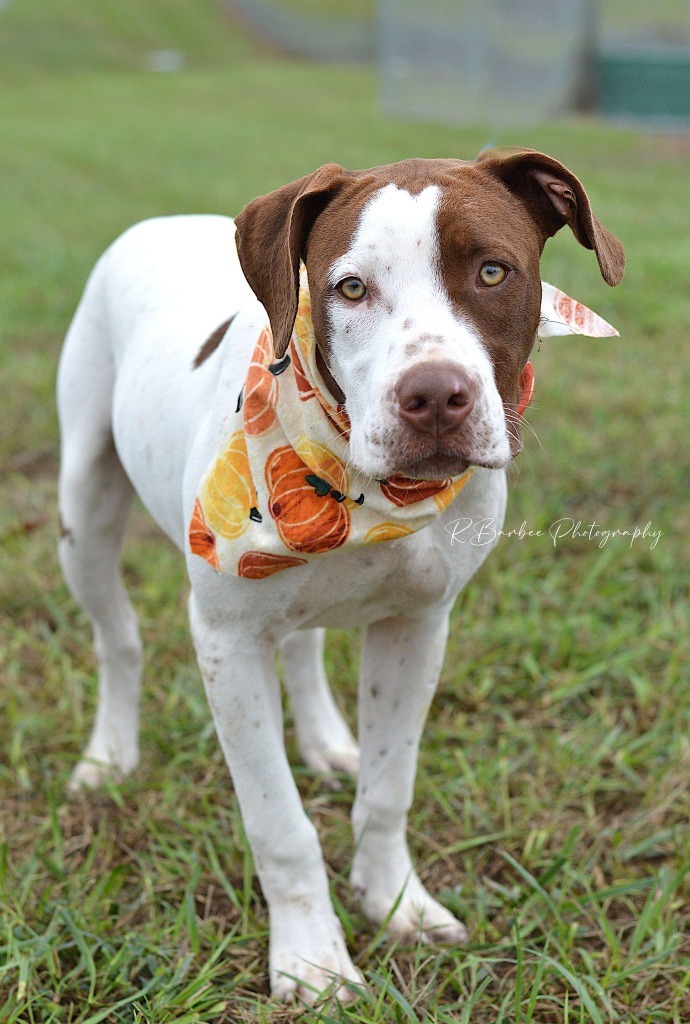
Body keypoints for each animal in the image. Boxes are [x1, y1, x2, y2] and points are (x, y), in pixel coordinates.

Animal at [56, 149, 622, 999]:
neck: (370, 489)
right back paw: (108, 757)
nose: (435, 396)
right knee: (117, 638)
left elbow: (389, 790)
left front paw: (395, 904)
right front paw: (313, 959)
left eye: (493, 271)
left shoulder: (417, 625)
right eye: (350, 288)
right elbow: (278, 825)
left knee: (302, 642)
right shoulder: (227, 642)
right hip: (83, 509)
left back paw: (326, 742)